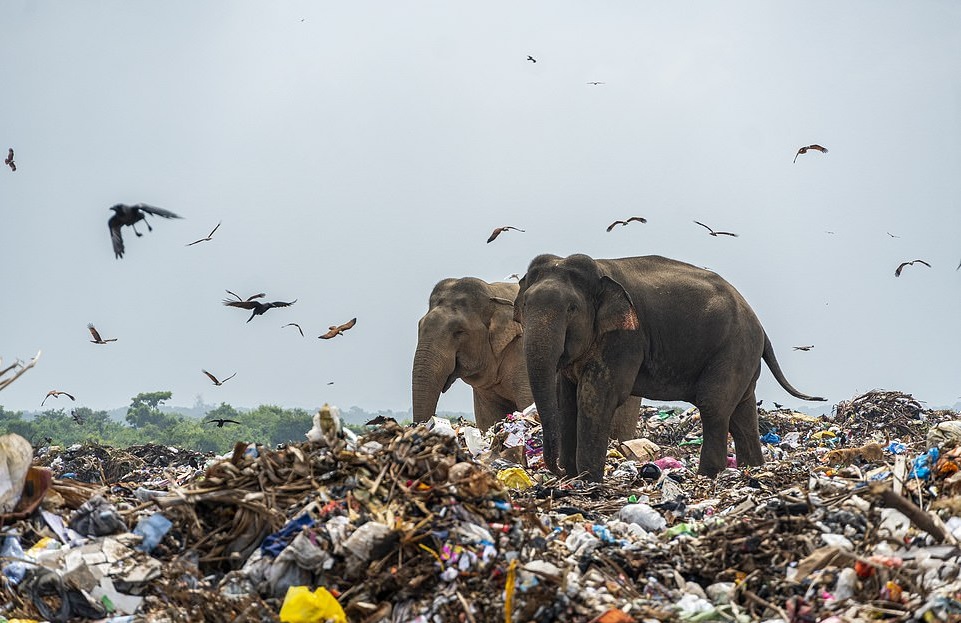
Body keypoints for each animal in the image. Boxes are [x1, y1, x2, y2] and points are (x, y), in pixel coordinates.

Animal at [514, 253, 825, 481]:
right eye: (525, 305)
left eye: (571, 309)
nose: (558, 470)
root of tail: (759, 325)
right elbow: (566, 399)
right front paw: (573, 478)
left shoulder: (626, 338)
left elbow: (595, 397)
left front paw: (588, 480)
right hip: (742, 356)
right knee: (741, 411)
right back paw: (753, 469)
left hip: (733, 349)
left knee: (714, 405)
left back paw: (707, 475)